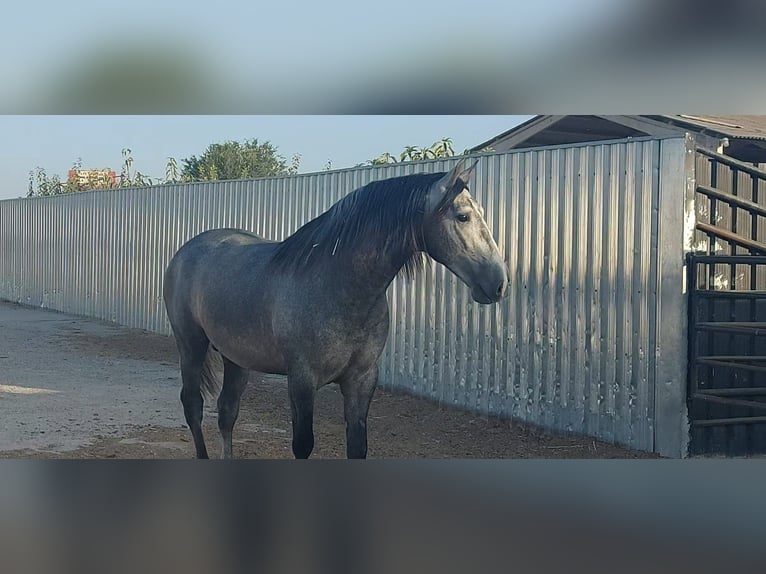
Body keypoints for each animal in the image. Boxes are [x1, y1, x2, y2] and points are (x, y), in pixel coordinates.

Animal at [162, 160, 510, 462]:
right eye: (463, 216)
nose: (499, 283)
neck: (338, 285)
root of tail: (188, 249)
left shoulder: (362, 380)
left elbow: (357, 447)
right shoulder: (301, 381)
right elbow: (303, 445)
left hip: (236, 358)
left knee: (227, 412)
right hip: (191, 345)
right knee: (193, 406)